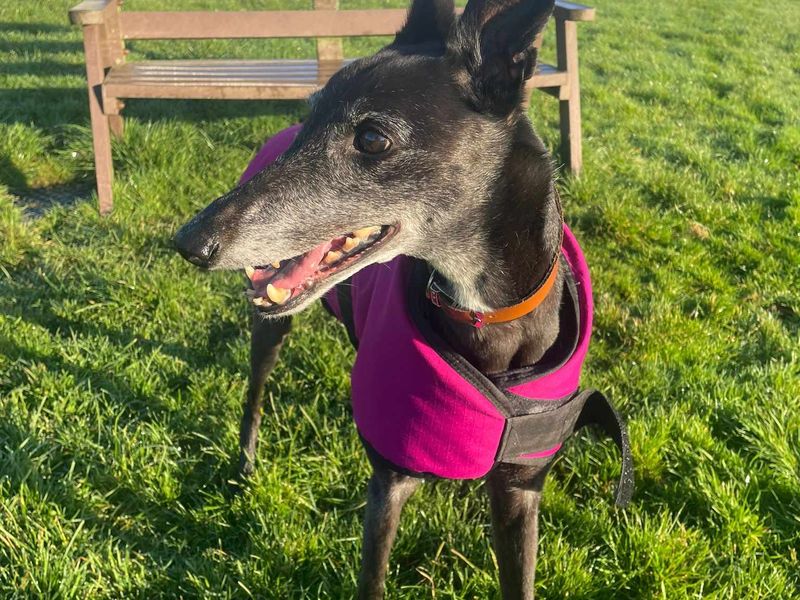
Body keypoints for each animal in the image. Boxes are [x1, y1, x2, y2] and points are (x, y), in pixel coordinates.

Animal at [175, 2, 632, 596]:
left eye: (372, 139)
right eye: (311, 113)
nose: (189, 242)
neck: (484, 313)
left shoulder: (520, 489)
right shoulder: (388, 484)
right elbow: (372, 578)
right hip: (269, 330)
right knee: (254, 393)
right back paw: (246, 462)